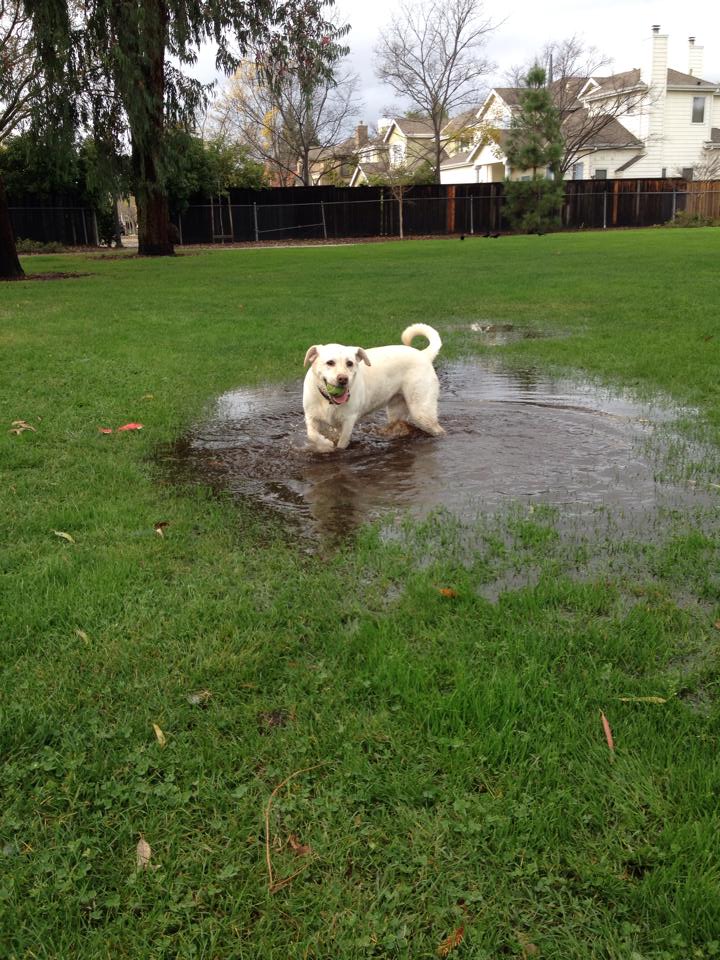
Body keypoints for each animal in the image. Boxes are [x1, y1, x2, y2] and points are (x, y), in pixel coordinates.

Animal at [303, 323, 444, 452]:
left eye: (350, 363)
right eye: (330, 362)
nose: (343, 379)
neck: (328, 401)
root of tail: (423, 354)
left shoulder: (348, 421)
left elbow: (341, 444)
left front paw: (330, 446)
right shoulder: (311, 416)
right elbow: (311, 435)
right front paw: (325, 445)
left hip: (422, 411)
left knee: (439, 430)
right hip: (396, 409)